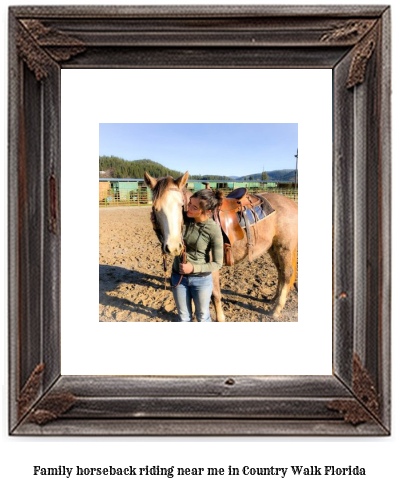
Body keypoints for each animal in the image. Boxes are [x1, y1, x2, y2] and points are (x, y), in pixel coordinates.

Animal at [145, 171, 298, 320]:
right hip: (273, 248)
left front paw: (220, 317)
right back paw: (274, 299)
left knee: (287, 273)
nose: (173, 247)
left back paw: (277, 309)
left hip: (284, 248)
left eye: (181, 205)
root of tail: (292, 204)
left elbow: (215, 294)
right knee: (280, 272)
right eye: (155, 208)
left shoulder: (212, 265)